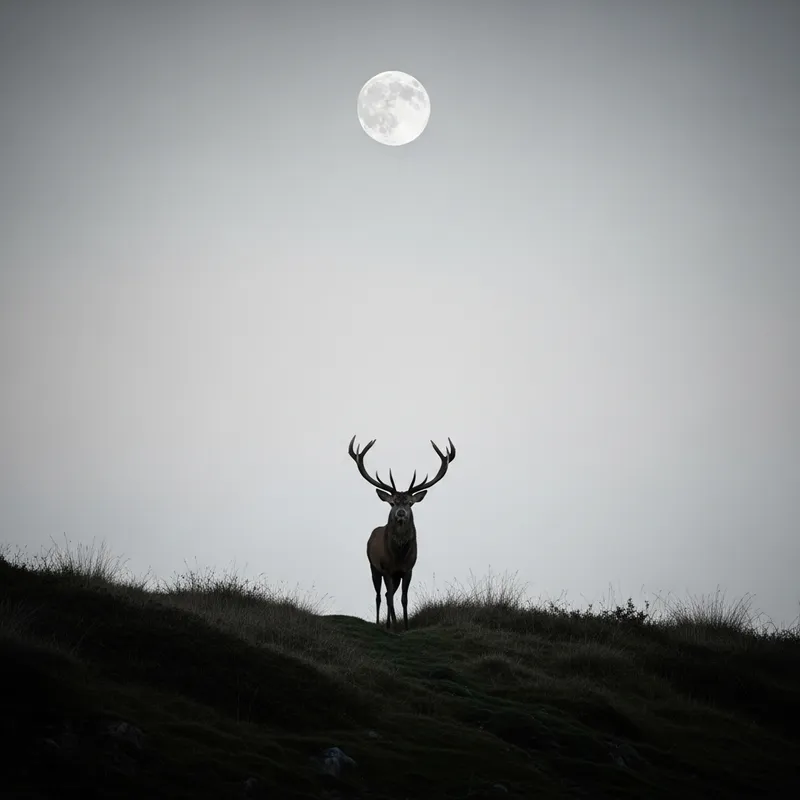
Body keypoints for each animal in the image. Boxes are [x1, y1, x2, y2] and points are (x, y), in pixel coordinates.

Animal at [348, 434, 457, 632]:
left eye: (410, 503)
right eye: (392, 502)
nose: (400, 513)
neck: (398, 556)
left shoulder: (408, 569)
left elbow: (404, 599)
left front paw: (405, 626)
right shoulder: (387, 569)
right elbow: (390, 598)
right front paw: (391, 626)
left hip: (394, 576)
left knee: (386, 594)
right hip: (373, 567)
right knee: (379, 595)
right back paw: (381, 623)